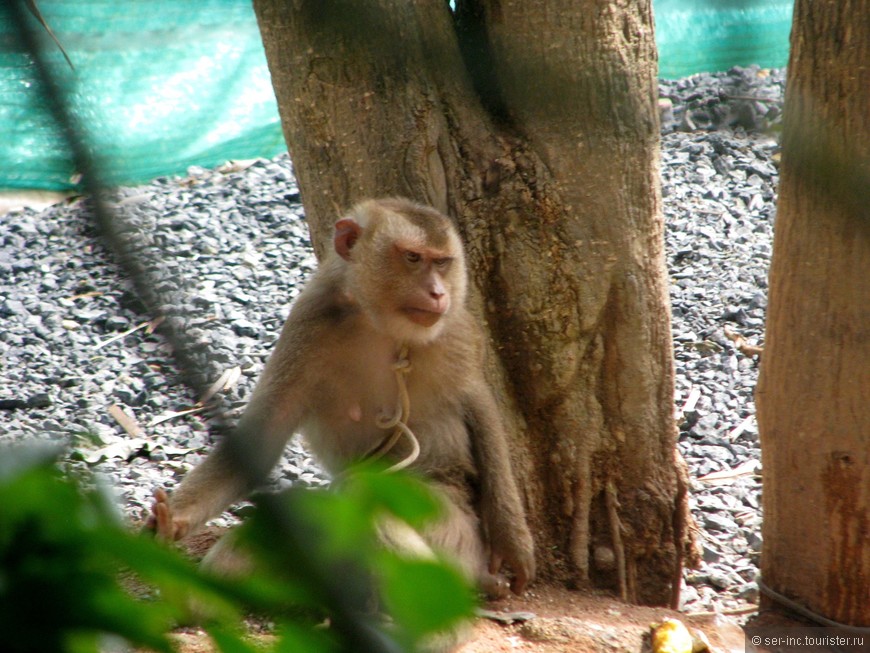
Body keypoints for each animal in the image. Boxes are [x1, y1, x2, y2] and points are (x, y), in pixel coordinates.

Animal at [146, 196, 536, 600]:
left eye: (442, 262)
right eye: (413, 258)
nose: (438, 292)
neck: (379, 324)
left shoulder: (455, 327)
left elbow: (478, 403)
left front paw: (511, 539)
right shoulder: (310, 322)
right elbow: (261, 438)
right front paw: (173, 521)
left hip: (453, 531)